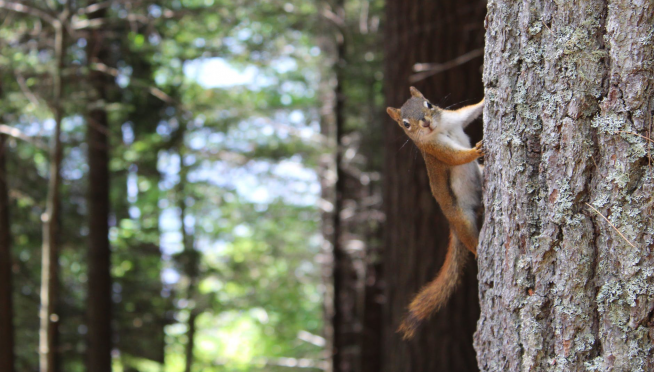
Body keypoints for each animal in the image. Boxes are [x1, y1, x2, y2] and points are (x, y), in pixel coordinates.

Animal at [386, 86, 484, 340]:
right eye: (405, 124)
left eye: (429, 104)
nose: (426, 123)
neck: (440, 128)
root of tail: (452, 225)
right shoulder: (435, 150)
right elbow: (456, 157)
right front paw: (475, 150)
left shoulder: (455, 118)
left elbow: (470, 111)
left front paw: (485, 98)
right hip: (462, 218)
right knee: (470, 240)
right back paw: (479, 250)